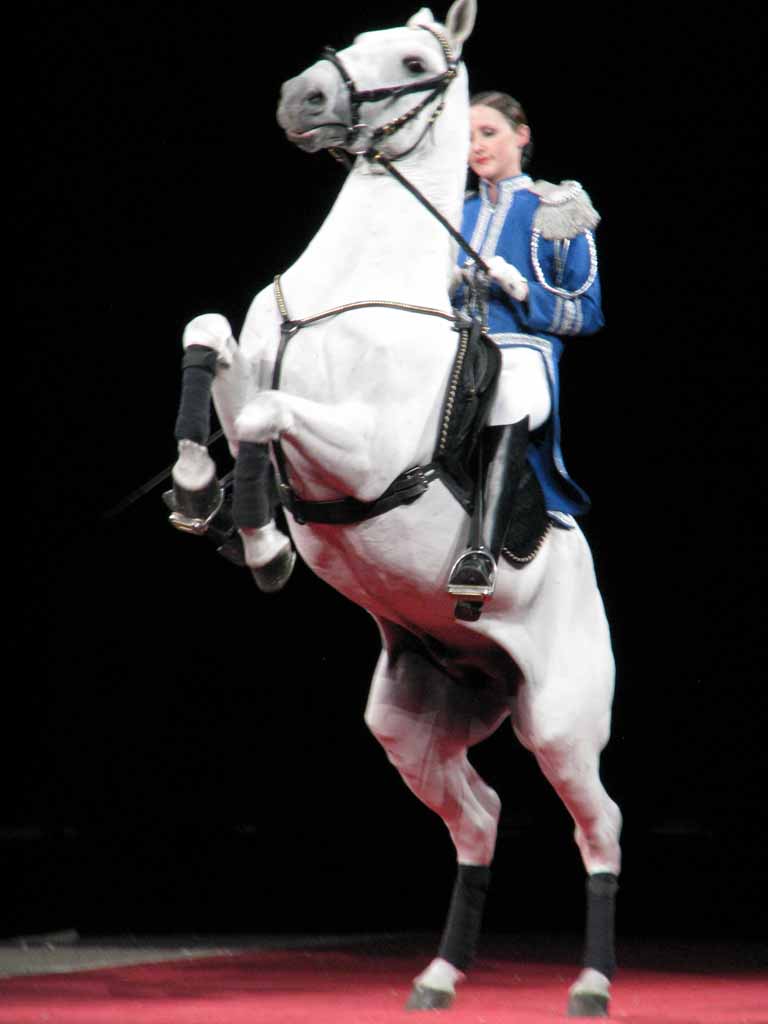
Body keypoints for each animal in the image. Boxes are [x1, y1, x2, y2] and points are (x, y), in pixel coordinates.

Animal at [169, 0, 626, 1011]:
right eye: (354, 39)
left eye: (416, 62)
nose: (300, 99)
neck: (356, 285)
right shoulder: (251, 360)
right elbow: (210, 340)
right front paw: (199, 489)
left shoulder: (365, 452)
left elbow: (261, 413)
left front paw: (263, 543)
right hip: (414, 724)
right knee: (482, 818)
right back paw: (442, 974)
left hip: (562, 722)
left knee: (600, 828)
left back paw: (591, 985)